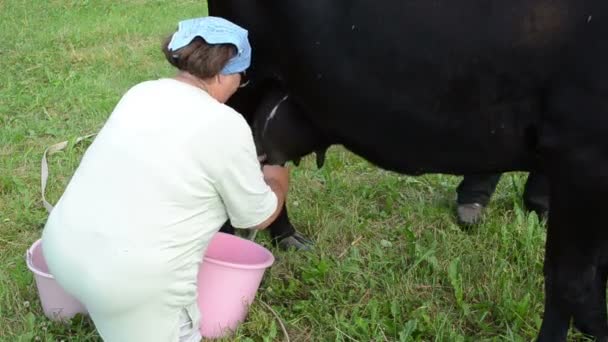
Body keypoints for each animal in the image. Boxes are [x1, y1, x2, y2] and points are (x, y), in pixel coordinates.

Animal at [209, 1, 608, 340]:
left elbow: (592, 274)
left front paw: (594, 327)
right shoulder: (580, 153)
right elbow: (571, 281)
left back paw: (287, 236)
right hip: (242, 82)